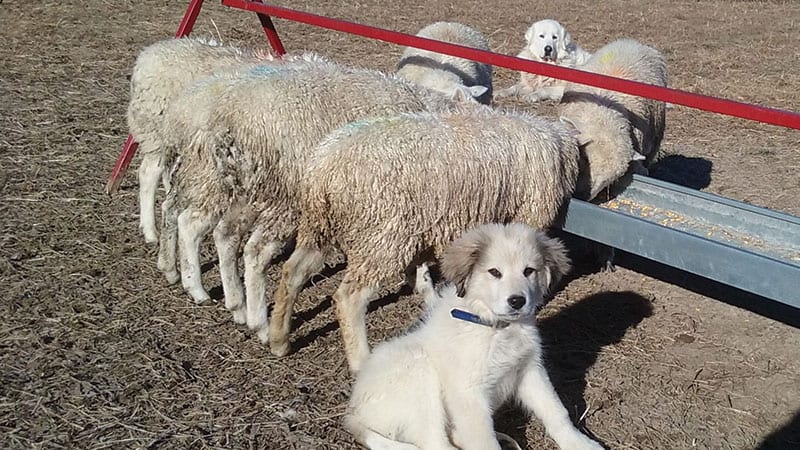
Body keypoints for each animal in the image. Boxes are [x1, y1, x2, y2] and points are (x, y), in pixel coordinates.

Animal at [158, 60, 462, 342]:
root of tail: (227, 115)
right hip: (277, 192)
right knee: (237, 243)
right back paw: (249, 318)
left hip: (233, 184)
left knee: (212, 228)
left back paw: (225, 299)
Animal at [270, 106, 580, 372]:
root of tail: (324, 169)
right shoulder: (526, 217)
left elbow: (421, 276)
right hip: (381, 236)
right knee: (349, 298)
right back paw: (360, 359)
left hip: (320, 227)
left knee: (292, 271)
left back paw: (278, 339)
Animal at [344, 223, 600, 450]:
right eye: (494, 272)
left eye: (529, 271)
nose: (517, 301)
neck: (496, 328)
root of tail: (354, 412)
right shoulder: (469, 394)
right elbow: (483, 441)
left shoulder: (529, 370)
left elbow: (557, 412)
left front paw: (580, 443)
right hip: (419, 377)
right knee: (435, 443)